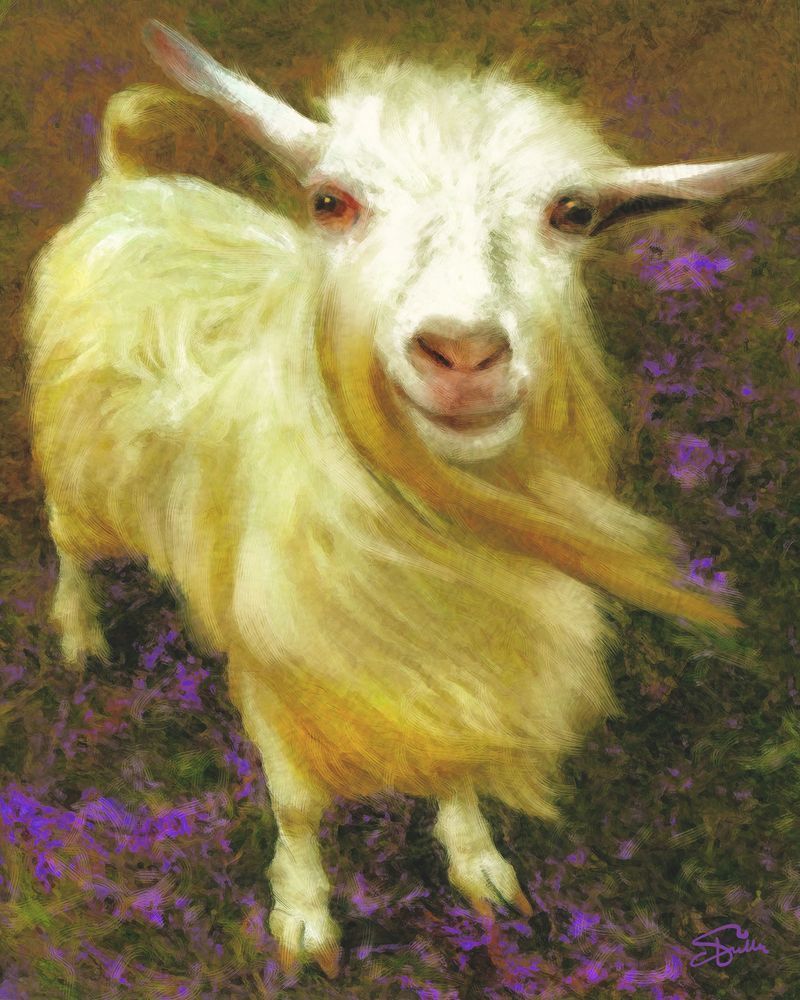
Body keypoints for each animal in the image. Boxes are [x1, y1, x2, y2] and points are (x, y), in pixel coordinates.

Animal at [24, 20, 785, 978]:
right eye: (330, 202)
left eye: (572, 214)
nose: (462, 352)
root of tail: (131, 178)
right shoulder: (281, 670)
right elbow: (298, 805)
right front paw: (304, 918)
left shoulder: (456, 669)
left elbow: (457, 769)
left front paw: (479, 864)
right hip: (79, 472)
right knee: (69, 545)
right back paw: (80, 636)